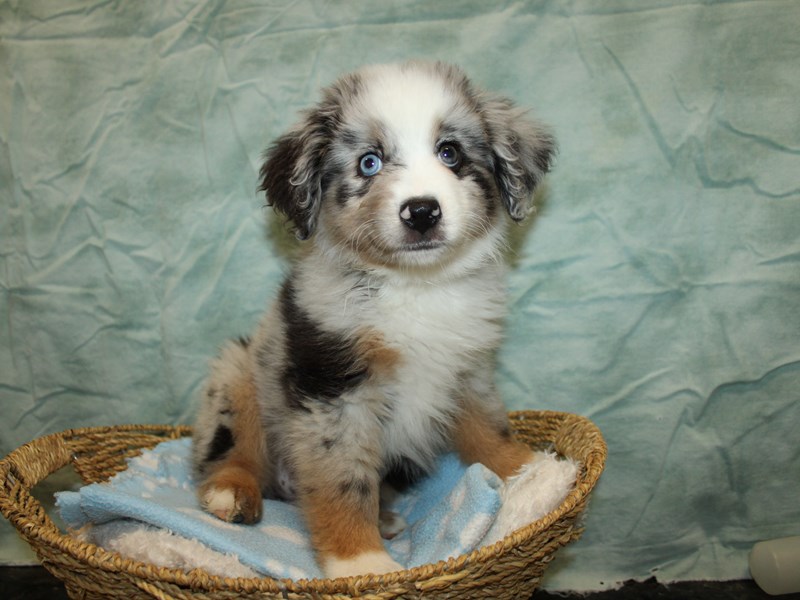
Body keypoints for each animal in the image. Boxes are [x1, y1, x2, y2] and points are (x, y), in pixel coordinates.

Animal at [194, 59, 556, 576]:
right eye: (370, 162)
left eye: (450, 153)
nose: (422, 212)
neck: (415, 287)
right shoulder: (332, 387)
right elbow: (342, 481)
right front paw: (360, 563)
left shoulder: (468, 369)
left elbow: (488, 427)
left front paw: (533, 472)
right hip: (238, 371)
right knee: (228, 449)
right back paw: (231, 490)